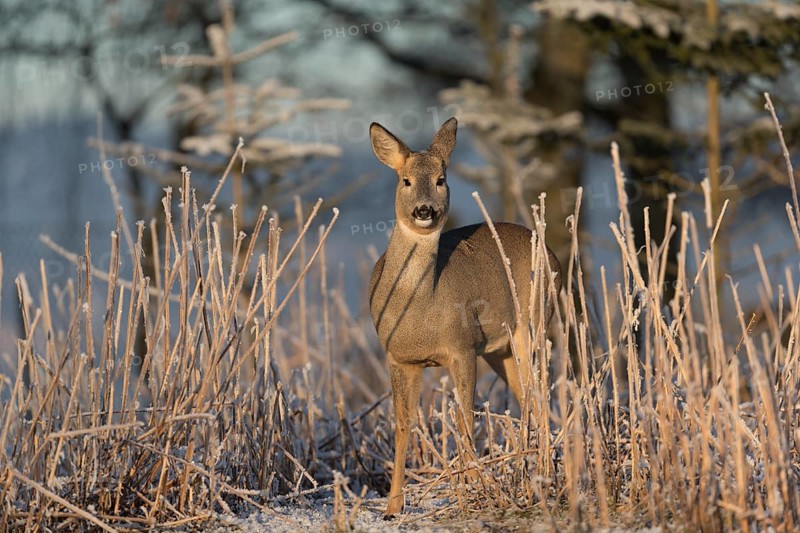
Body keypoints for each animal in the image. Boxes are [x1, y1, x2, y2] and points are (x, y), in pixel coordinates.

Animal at [368, 117, 562, 518]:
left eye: (441, 179)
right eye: (405, 180)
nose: (424, 210)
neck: (420, 309)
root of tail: (554, 256)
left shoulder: (462, 347)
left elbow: (465, 416)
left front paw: (473, 484)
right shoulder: (398, 357)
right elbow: (403, 424)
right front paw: (393, 505)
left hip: (533, 322)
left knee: (538, 392)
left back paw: (540, 469)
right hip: (500, 350)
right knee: (525, 394)